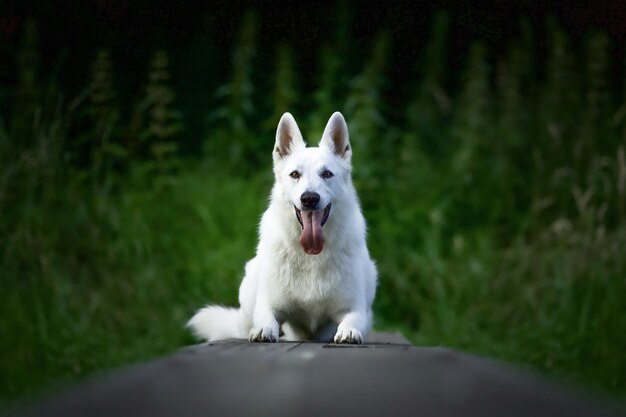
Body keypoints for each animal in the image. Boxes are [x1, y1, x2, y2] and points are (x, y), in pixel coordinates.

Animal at [186, 112, 376, 342]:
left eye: (327, 174)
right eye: (295, 174)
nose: (309, 198)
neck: (311, 257)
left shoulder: (356, 310)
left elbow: (351, 320)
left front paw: (348, 331)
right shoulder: (268, 306)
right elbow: (267, 319)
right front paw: (264, 330)